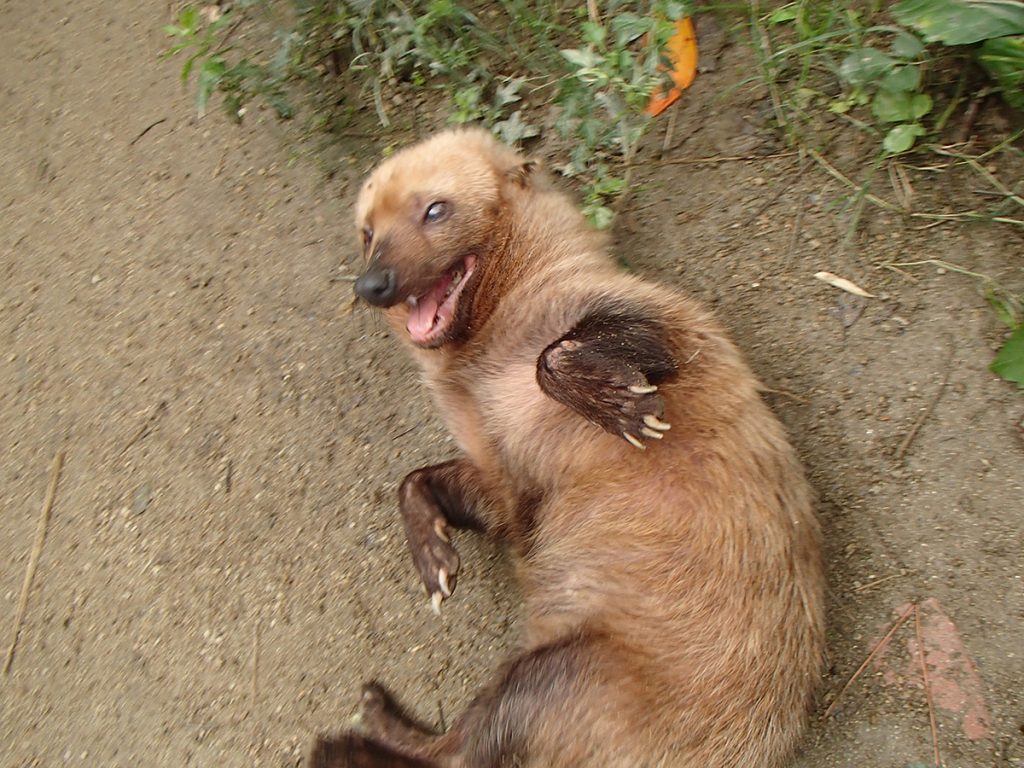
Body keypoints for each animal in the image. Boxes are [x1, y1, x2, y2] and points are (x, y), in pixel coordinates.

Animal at [311, 129, 823, 765]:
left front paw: (624, 408)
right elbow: (416, 480)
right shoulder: (506, 483)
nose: (372, 285)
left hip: (554, 672)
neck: (479, 362)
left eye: (434, 209)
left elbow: (554, 357)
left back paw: (359, 722)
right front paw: (435, 563)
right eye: (366, 231)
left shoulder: (665, 323)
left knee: (457, 748)